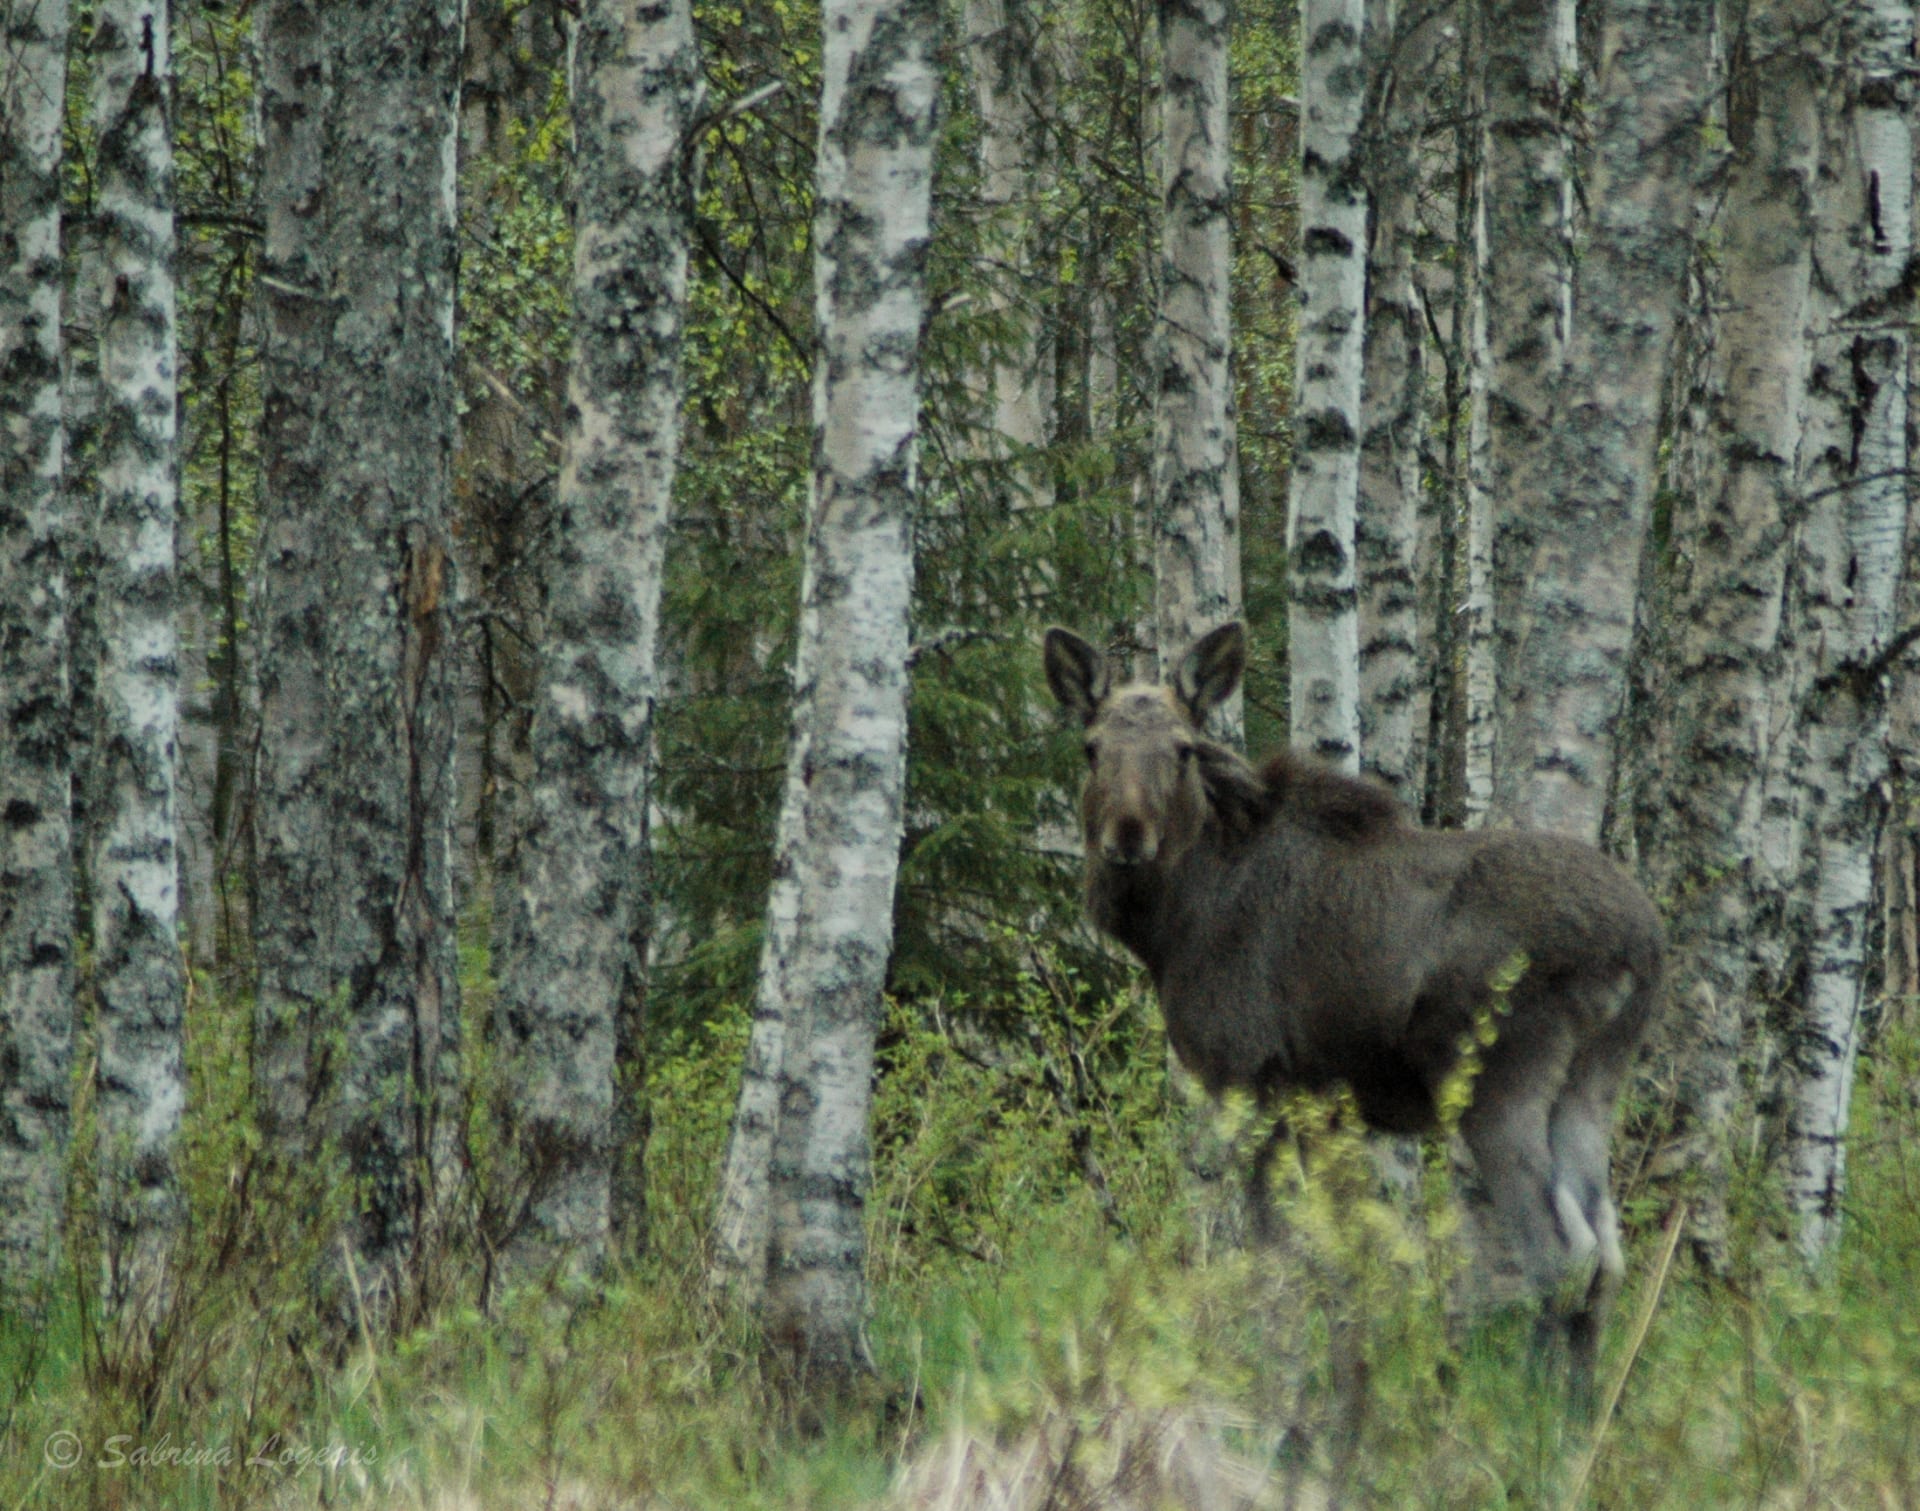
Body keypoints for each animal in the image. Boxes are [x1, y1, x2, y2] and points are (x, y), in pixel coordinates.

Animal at [1043, 621, 1666, 1406]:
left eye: (1182, 749)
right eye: (1092, 746)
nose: (1127, 834)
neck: (1173, 925)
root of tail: (1637, 946)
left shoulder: (1251, 1077)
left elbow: (1275, 1254)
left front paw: (1274, 1380)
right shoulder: (1326, 1106)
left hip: (1499, 1082)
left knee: (1562, 1257)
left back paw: (1527, 1414)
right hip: (1593, 1082)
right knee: (1606, 1256)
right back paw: (1581, 1417)